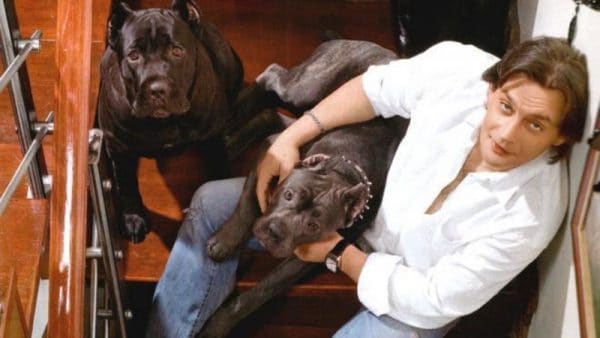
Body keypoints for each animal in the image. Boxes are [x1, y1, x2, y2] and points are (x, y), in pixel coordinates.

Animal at [97, 0, 243, 243]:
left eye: (177, 51)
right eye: (133, 55)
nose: (157, 89)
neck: (163, 124)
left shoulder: (213, 136)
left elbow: (219, 165)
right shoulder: (118, 146)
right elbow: (126, 184)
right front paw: (133, 217)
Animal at [198, 40, 404, 338]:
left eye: (313, 226)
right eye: (288, 195)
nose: (274, 232)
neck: (345, 171)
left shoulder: (306, 258)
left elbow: (259, 293)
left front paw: (218, 326)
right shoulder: (272, 155)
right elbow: (248, 206)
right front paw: (226, 240)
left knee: (272, 115)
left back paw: (231, 139)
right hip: (305, 88)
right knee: (272, 77)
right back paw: (233, 115)